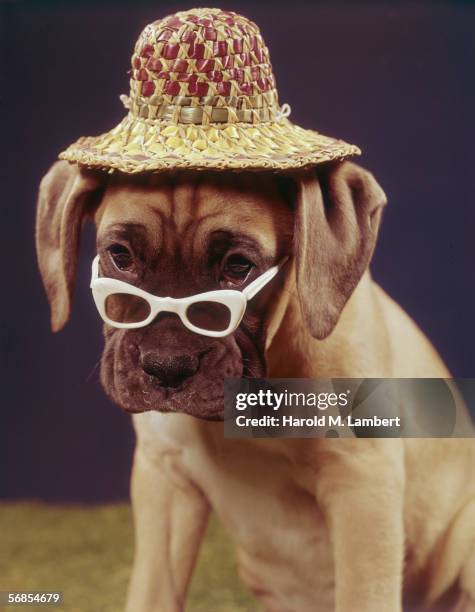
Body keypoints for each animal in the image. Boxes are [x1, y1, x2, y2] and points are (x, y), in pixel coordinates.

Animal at [37, 159, 475, 612]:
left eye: (238, 267)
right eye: (120, 256)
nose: (167, 366)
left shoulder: (362, 485)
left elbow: (363, 593)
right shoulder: (165, 480)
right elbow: (152, 592)